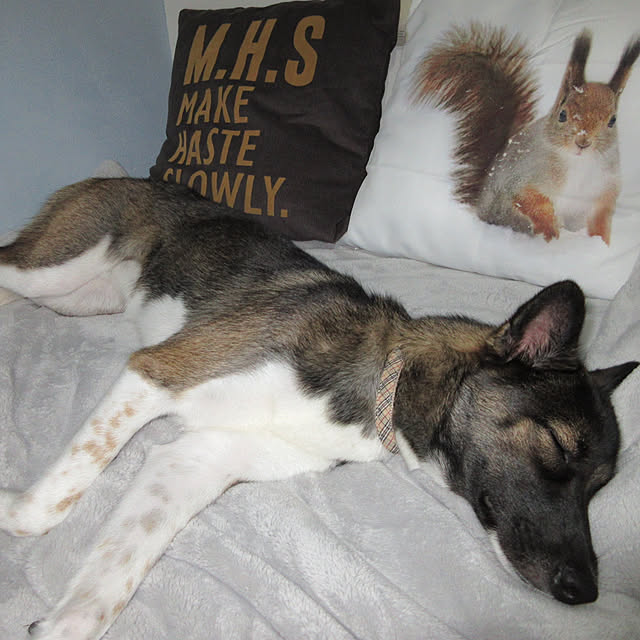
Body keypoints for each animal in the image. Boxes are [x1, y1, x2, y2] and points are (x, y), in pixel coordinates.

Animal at [0, 177, 636, 640]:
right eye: (557, 446)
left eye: (600, 487)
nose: (584, 592)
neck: (381, 382)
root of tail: (123, 175)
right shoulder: (157, 370)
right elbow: (53, 502)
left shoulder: (196, 462)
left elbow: (111, 579)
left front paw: (59, 623)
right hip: (55, 267)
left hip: (75, 299)